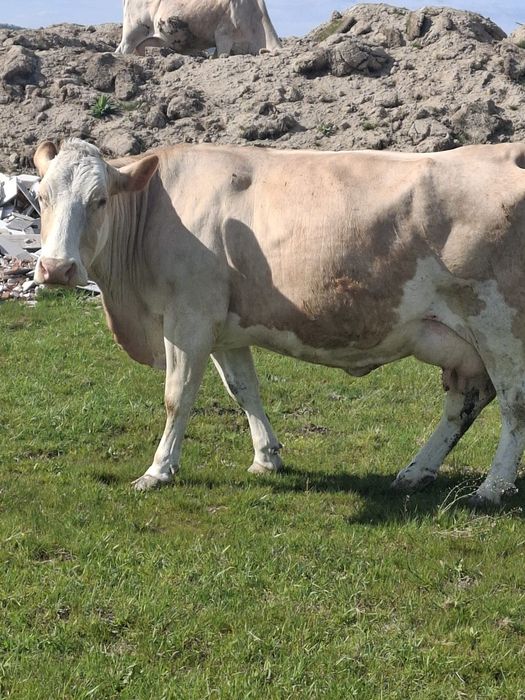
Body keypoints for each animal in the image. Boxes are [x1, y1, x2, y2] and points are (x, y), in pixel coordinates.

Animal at [32, 138, 525, 507]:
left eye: (99, 200)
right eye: (41, 198)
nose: (56, 268)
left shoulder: (189, 317)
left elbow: (178, 397)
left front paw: (158, 470)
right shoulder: (225, 326)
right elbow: (243, 389)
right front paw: (266, 458)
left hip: (498, 324)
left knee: (512, 403)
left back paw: (492, 488)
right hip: (460, 342)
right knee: (465, 402)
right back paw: (416, 471)